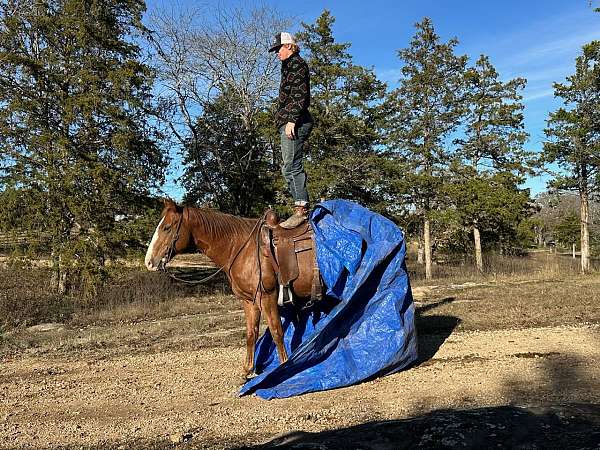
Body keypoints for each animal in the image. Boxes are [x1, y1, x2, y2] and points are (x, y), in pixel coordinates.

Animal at [144, 199, 316, 378]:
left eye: (166, 227)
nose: (149, 261)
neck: (243, 249)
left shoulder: (267, 297)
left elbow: (277, 332)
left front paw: (283, 369)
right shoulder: (249, 301)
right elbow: (251, 333)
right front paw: (248, 370)